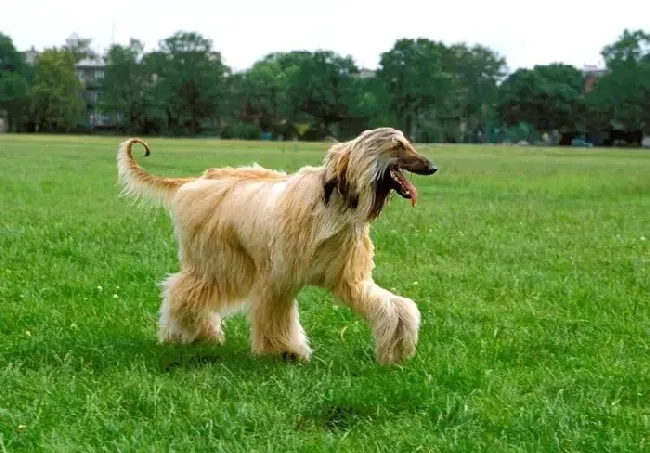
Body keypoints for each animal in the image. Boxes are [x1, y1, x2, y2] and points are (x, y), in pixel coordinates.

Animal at [116, 127, 436, 364]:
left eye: (408, 143)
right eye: (398, 146)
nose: (432, 166)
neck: (336, 204)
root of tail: (196, 181)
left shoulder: (347, 276)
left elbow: (393, 306)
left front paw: (397, 348)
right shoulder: (279, 276)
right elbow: (275, 312)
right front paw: (286, 351)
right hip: (218, 260)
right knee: (184, 290)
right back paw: (186, 334)